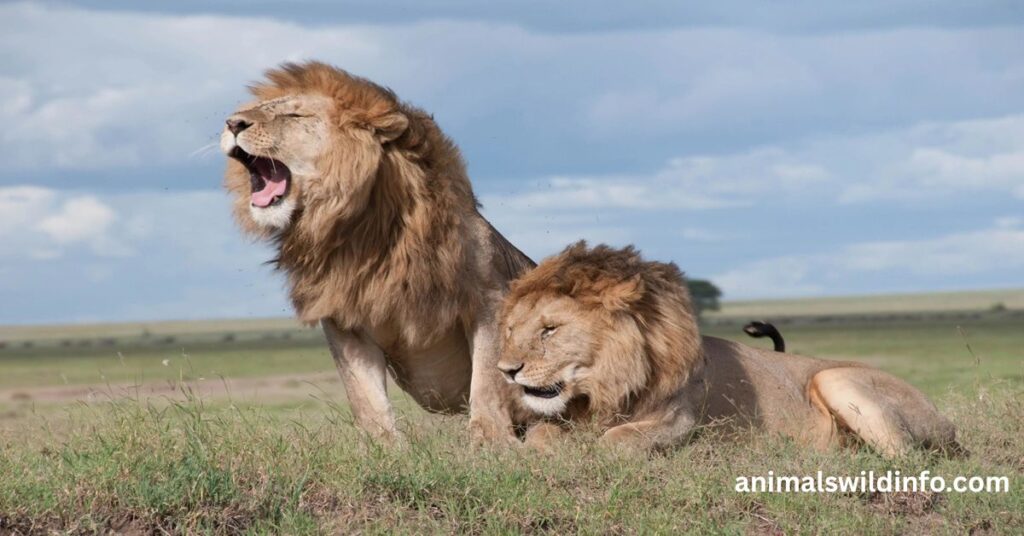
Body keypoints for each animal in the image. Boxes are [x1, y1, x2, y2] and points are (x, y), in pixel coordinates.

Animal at [221, 61, 533, 444]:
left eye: (294, 114)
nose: (232, 123)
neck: (363, 234)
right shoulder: (343, 317)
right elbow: (364, 393)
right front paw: (383, 445)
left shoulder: (489, 298)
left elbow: (487, 380)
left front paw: (490, 440)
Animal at [497, 242, 959, 457]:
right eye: (512, 329)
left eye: (550, 330)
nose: (505, 370)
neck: (604, 387)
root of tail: (945, 421)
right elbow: (540, 434)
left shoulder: (679, 421)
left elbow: (616, 440)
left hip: (837, 377)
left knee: (904, 459)